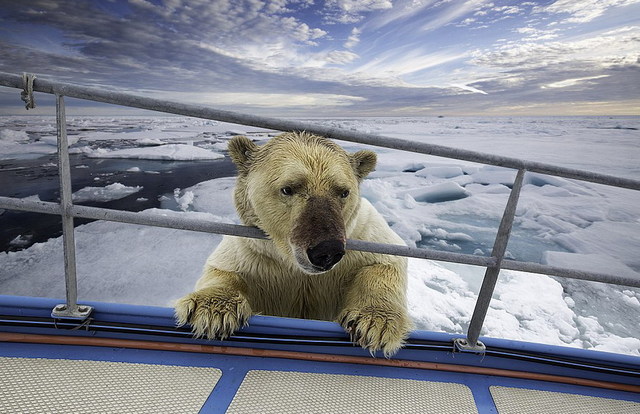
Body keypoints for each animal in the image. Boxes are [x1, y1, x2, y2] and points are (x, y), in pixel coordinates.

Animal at [175, 132, 410, 356]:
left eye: (343, 192)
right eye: (288, 188)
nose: (326, 251)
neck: (296, 266)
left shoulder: (362, 234)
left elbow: (385, 262)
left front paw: (375, 323)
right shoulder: (253, 251)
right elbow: (223, 268)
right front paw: (212, 310)